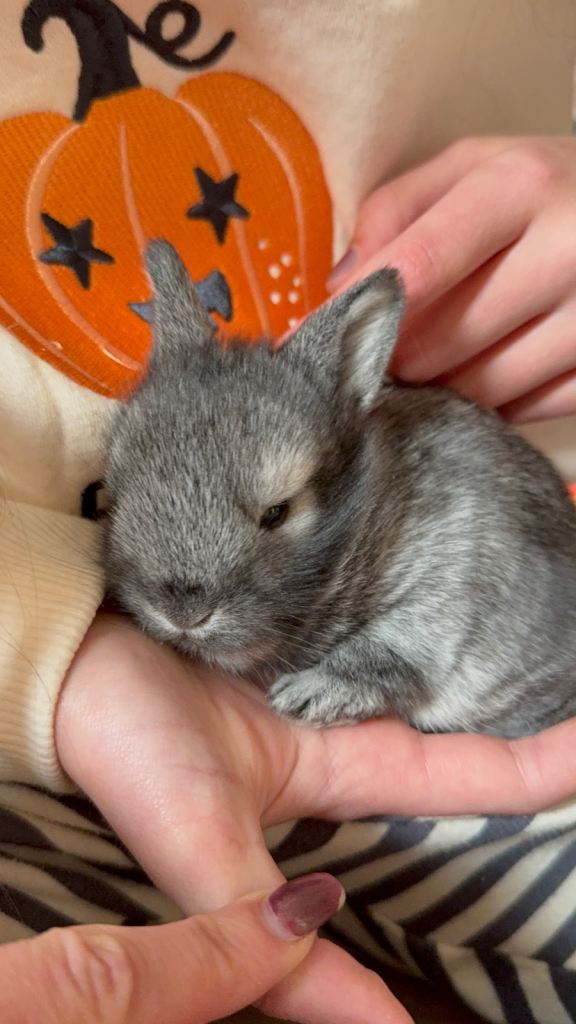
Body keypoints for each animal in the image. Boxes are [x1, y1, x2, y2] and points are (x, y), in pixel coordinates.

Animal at [103, 239, 576, 738]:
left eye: (278, 511)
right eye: (115, 490)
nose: (183, 613)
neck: (369, 515)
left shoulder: (451, 575)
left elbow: (391, 648)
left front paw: (310, 696)